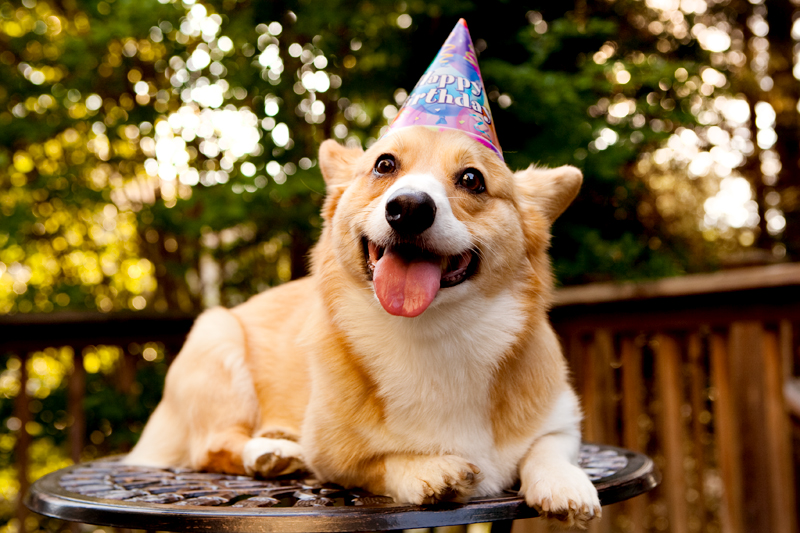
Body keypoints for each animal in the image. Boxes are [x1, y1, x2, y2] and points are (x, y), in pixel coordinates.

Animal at [125, 127, 600, 524]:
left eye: (472, 179)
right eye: (384, 165)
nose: (408, 207)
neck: (433, 332)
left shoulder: (562, 417)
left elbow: (549, 447)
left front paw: (564, 484)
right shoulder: (333, 455)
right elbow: (378, 462)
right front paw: (431, 469)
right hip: (217, 338)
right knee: (212, 445)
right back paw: (270, 451)